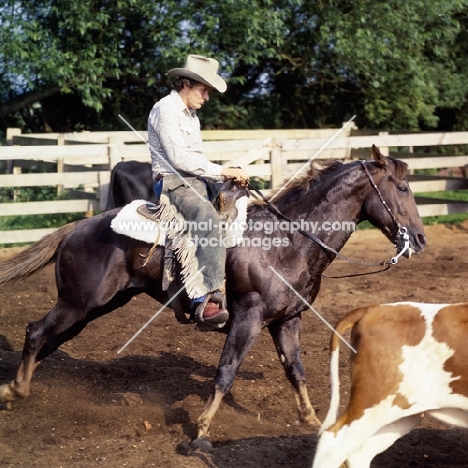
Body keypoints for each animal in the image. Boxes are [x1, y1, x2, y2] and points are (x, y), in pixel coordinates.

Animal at [0, 144, 426, 448]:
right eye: (403, 188)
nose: (420, 240)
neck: (287, 241)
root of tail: (76, 227)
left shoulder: (288, 320)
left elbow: (296, 370)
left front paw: (312, 421)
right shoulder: (248, 318)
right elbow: (226, 372)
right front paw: (202, 430)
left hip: (93, 306)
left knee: (48, 339)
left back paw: (16, 387)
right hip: (79, 303)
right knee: (36, 331)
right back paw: (16, 389)